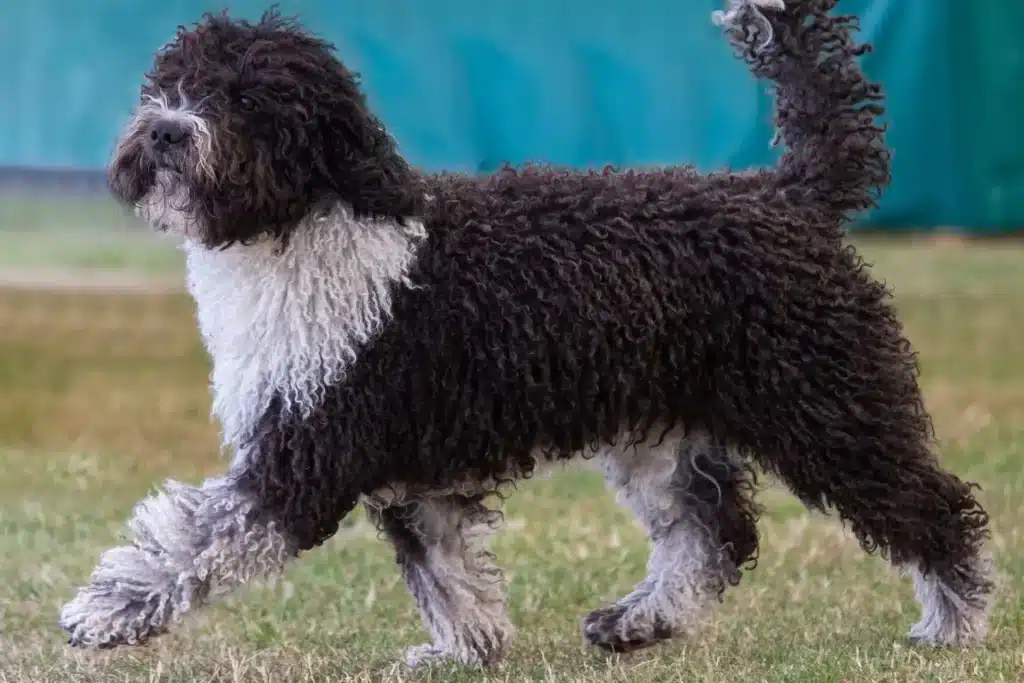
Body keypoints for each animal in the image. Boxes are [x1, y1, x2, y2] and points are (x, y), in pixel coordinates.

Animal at [58, 0, 991, 667]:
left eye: (246, 98)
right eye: (167, 85)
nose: (166, 132)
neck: (307, 225)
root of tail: (788, 193)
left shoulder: (307, 453)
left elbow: (192, 539)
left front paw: (104, 611)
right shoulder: (407, 467)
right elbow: (445, 568)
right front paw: (464, 650)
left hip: (828, 403)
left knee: (935, 507)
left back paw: (955, 622)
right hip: (663, 429)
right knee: (713, 535)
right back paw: (636, 622)